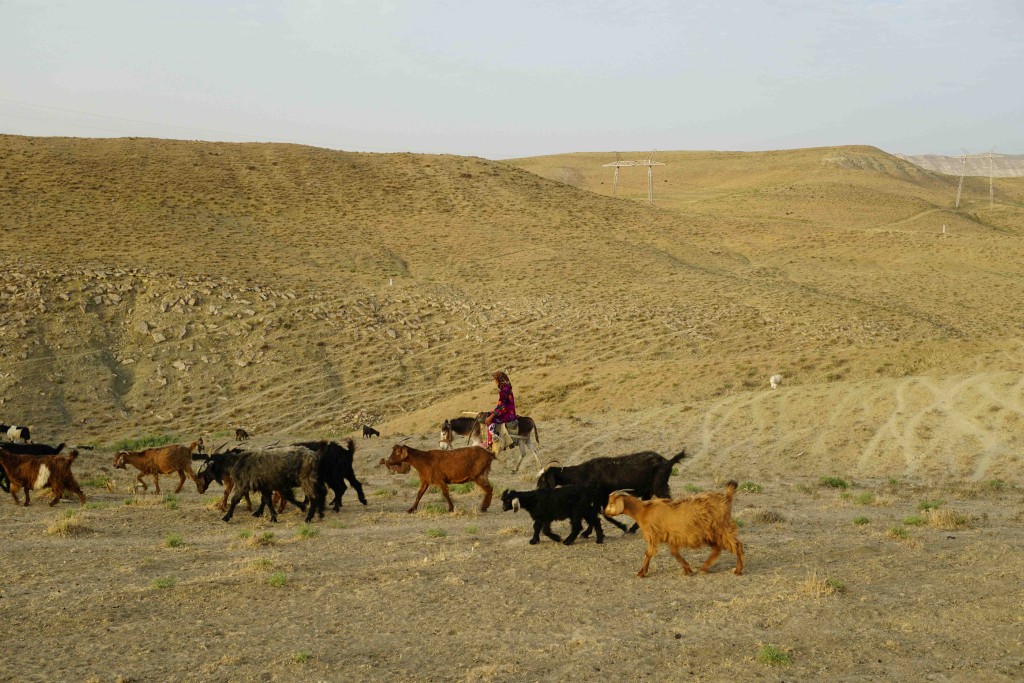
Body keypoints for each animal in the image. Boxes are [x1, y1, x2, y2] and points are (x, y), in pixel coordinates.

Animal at [536, 450, 688, 536]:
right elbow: (600, 514)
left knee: (669, 502)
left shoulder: (597, 496)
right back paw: (633, 529)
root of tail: (668, 462)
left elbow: (599, 514)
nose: (538, 490)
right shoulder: (600, 497)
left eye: (543, 478)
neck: (582, 473)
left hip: (659, 486)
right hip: (649, 491)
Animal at [606, 481, 745, 577]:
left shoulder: (653, 536)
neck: (644, 511)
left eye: (611, 502)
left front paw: (641, 573)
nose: (606, 513)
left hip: (721, 528)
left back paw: (737, 570)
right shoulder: (672, 537)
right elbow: (675, 553)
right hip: (712, 533)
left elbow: (648, 554)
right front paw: (688, 570)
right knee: (717, 548)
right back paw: (703, 568)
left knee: (737, 546)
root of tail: (726, 499)